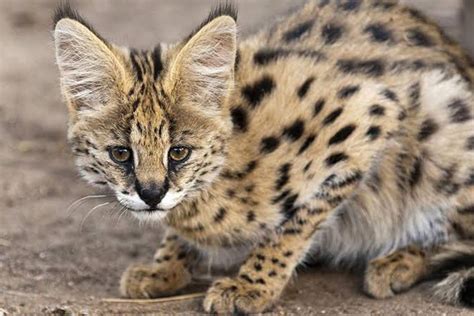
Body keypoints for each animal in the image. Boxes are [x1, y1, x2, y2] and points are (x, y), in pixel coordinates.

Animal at [52, 0, 474, 314]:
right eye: (121, 153)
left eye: (179, 152)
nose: (152, 195)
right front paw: (164, 268)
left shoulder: (372, 112)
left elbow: (296, 222)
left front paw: (253, 285)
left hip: (444, 124)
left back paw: (397, 260)